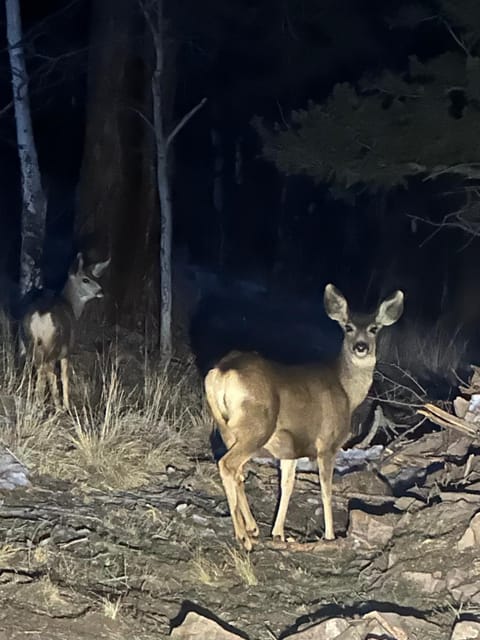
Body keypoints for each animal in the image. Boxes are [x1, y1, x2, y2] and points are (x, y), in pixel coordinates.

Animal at [21, 254, 109, 410]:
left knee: (35, 368)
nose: (101, 292)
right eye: (85, 279)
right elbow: (64, 376)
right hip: (53, 344)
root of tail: (41, 315)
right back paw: (53, 405)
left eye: (95, 277)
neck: (71, 305)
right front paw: (67, 404)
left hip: (30, 340)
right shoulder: (68, 350)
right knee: (47, 370)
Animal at [204, 284, 404, 552]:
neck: (346, 390)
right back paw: (243, 536)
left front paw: (278, 532)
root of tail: (222, 373)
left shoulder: (290, 448)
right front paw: (330, 535)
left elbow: (287, 485)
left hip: (227, 429)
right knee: (228, 465)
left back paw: (252, 529)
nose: (361, 347)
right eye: (348, 327)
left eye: (374, 328)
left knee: (237, 472)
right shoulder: (328, 443)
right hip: (257, 426)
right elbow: (326, 489)